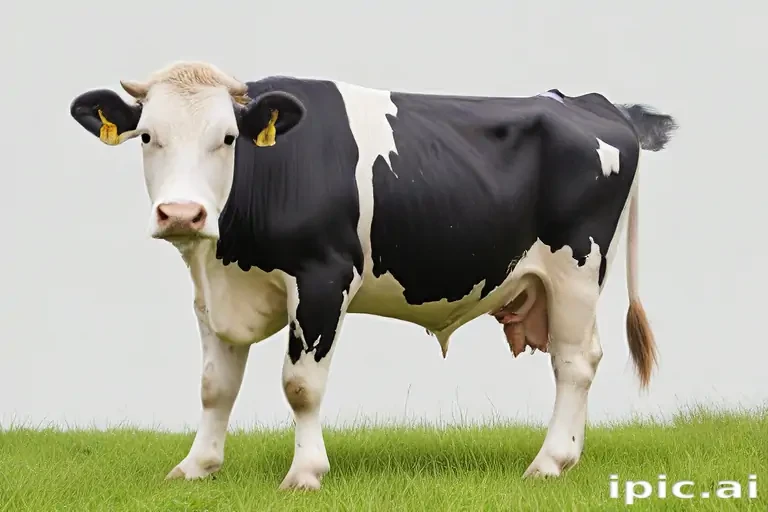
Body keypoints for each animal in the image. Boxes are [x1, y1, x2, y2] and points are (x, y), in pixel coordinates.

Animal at [69, 61, 677, 490]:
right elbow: (214, 386)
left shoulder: (322, 276)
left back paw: (550, 462)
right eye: (148, 136)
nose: (181, 214)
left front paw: (305, 474)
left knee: (575, 362)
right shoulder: (212, 292)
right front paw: (197, 467)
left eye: (227, 138)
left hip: (577, 266)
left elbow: (300, 384)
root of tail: (589, 100)